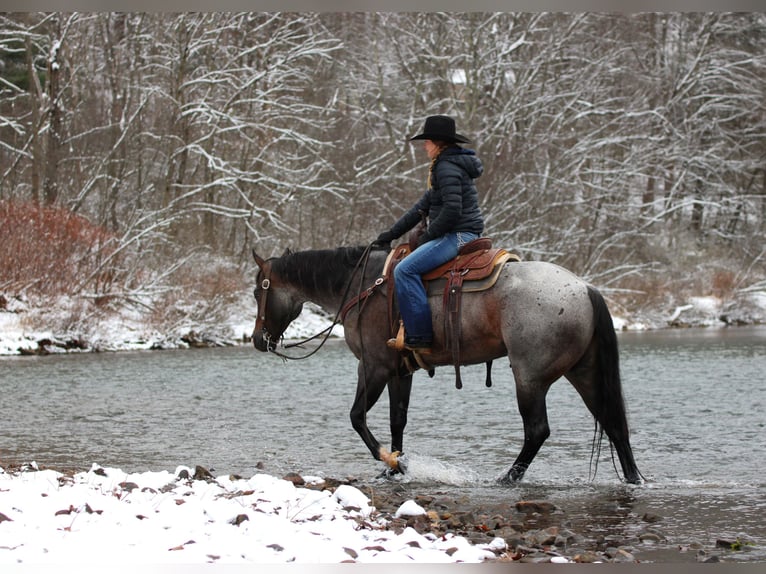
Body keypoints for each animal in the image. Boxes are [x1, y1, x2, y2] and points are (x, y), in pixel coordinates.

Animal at [251, 244, 642, 484]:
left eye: (258, 291)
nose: (257, 340)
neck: (362, 286)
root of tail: (585, 288)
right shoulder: (399, 372)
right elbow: (397, 420)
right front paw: (395, 468)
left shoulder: (373, 368)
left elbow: (357, 417)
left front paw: (391, 461)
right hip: (584, 372)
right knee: (614, 424)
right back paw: (634, 479)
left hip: (530, 378)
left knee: (537, 431)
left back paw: (508, 478)